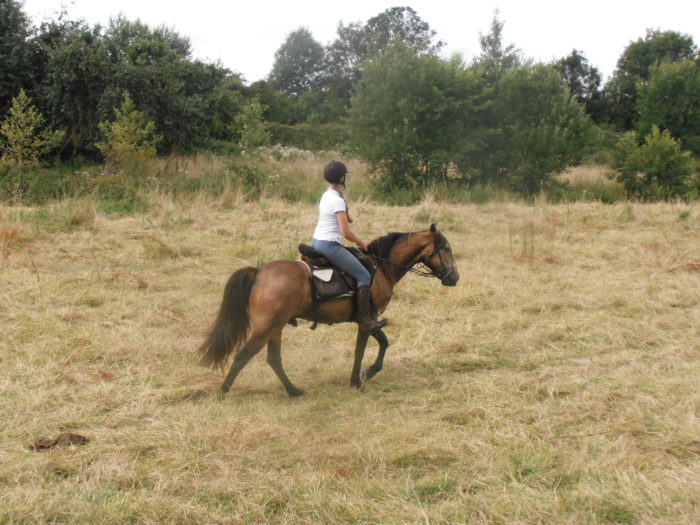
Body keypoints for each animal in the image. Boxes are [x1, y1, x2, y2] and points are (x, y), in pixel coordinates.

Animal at [198, 224, 459, 396]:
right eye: (446, 248)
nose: (454, 278)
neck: (382, 266)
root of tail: (259, 272)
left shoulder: (369, 320)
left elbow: (379, 344)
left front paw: (362, 375)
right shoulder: (369, 319)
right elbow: (367, 348)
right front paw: (363, 376)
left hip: (275, 327)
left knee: (274, 359)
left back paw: (293, 391)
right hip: (266, 328)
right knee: (243, 356)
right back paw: (223, 392)